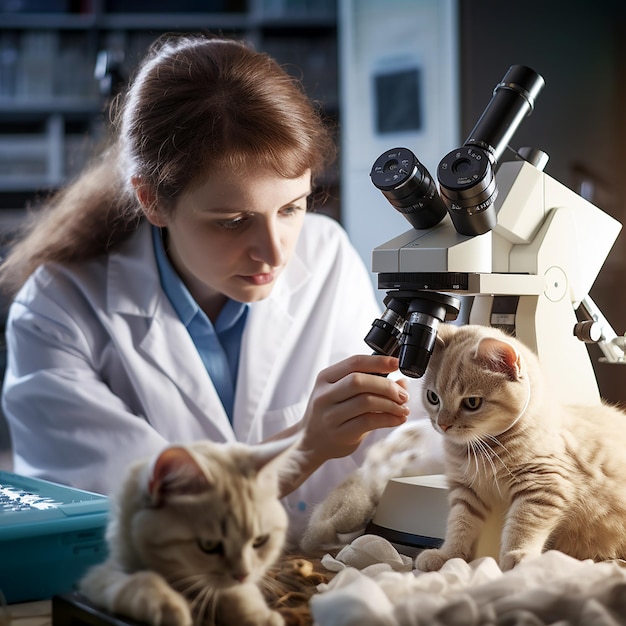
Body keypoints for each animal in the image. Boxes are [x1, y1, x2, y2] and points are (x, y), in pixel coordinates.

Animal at [80, 436, 300, 624]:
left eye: (260, 541)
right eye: (208, 545)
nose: (242, 575)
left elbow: (238, 592)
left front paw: (258, 616)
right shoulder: (98, 575)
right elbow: (140, 580)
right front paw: (167, 606)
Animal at [414, 322, 626, 572]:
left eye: (472, 402)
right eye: (433, 397)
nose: (443, 424)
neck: (482, 449)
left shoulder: (542, 485)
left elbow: (523, 524)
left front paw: (518, 556)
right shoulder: (466, 491)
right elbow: (460, 524)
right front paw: (448, 556)